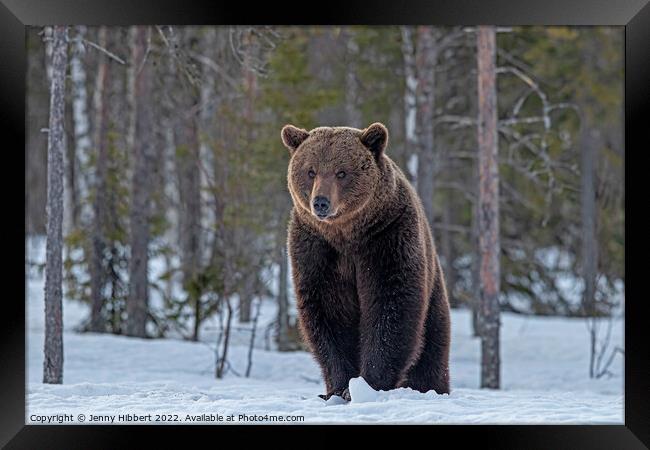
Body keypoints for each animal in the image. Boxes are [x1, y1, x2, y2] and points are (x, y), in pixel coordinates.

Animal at [280, 121, 448, 400]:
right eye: (311, 171)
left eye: (341, 172)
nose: (321, 203)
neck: (346, 234)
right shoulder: (317, 251)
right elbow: (328, 312)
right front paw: (339, 387)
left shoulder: (386, 238)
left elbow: (390, 305)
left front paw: (369, 383)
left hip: (434, 300)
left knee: (431, 350)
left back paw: (428, 387)